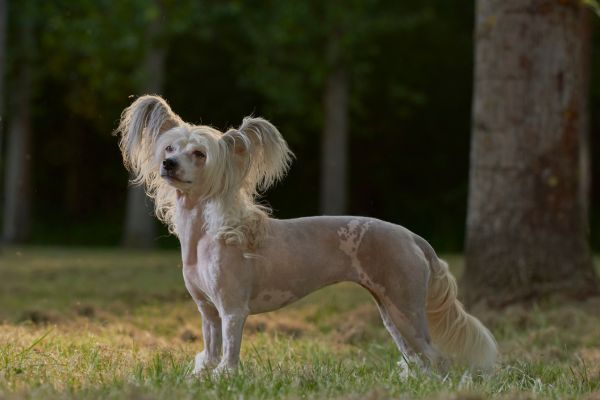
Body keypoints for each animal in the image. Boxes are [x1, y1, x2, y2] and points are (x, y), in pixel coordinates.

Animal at [116, 95, 496, 376]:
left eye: (199, 154)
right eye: (169, 149)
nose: (169, 165)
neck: (204, 234)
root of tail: (412, 237)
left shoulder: (233, 311)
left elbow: (229, 355)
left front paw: (225, 377)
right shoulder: (208, 312)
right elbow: (209, 353)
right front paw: (203, 376)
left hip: (406, 308)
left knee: (436, 357)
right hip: (391, 311)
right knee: (418, 358)